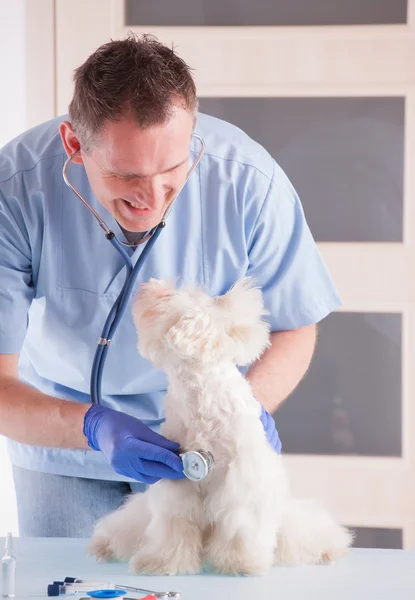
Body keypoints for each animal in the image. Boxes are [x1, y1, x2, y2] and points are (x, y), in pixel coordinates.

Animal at [89, 278, 352, 576]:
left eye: (169, 297)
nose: (150, 283)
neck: (199, 403)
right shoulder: (177, 483)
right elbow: (174, 528)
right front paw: (163, 562)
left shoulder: (239, 485)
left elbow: (238, 529)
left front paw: (240, 563)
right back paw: (103, 545)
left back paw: (328, 550)